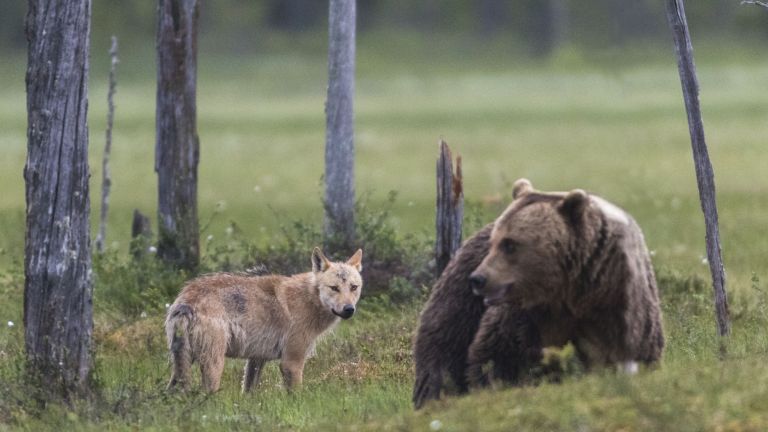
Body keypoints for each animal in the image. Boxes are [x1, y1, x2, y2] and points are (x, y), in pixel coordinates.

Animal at [165, 246, 364, 392]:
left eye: (353, 287)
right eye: (334, 288)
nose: (349, 309)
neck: (308, 299)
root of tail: (186, 301)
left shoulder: (256, 359)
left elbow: (248, 392)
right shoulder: (291, 362)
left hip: (181, 366)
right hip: (214, 365)